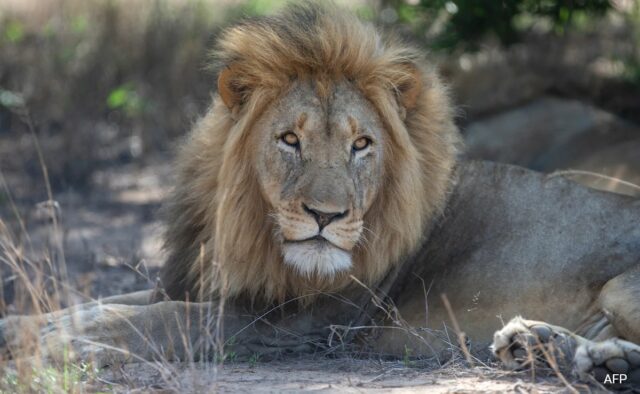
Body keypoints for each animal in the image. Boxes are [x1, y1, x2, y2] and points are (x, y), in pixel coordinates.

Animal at [1, 2, 640, 390]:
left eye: (362, 144)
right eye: (290, 139)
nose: (325, 217)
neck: (247, 227)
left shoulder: (298, 324)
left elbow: (158, 321)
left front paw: (60, 346)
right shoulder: (202, 281)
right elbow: (108, 303)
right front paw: (24, 328)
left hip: (621, 285)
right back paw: (543, 346)